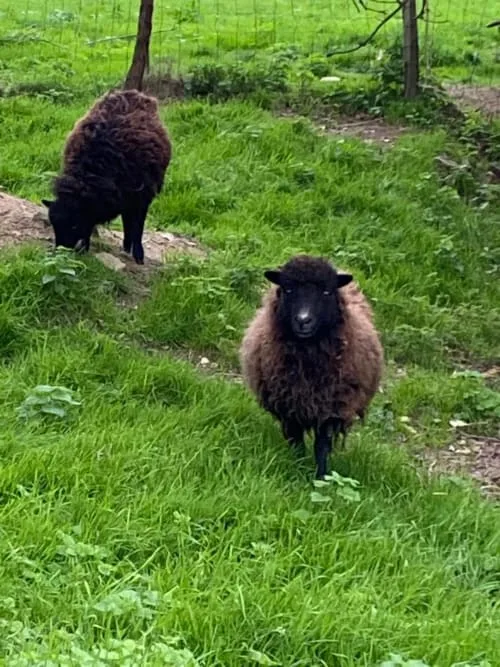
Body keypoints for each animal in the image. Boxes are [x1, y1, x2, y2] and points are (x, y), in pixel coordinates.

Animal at [42, 89, 172, 264]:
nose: (61, 253)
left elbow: (138, 226)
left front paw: (138, 255)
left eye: (74, 225)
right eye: (54, 224)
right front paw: (85, 248)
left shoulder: (142, 197)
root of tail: (132, 93)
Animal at [240, 255, 383, 479]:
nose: (303, 320)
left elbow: (322, 446)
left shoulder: (331, 407)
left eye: (326, 292)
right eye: (288, 289)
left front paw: (321, 477)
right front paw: (297, 465)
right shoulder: (288, 405)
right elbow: (295, 440)